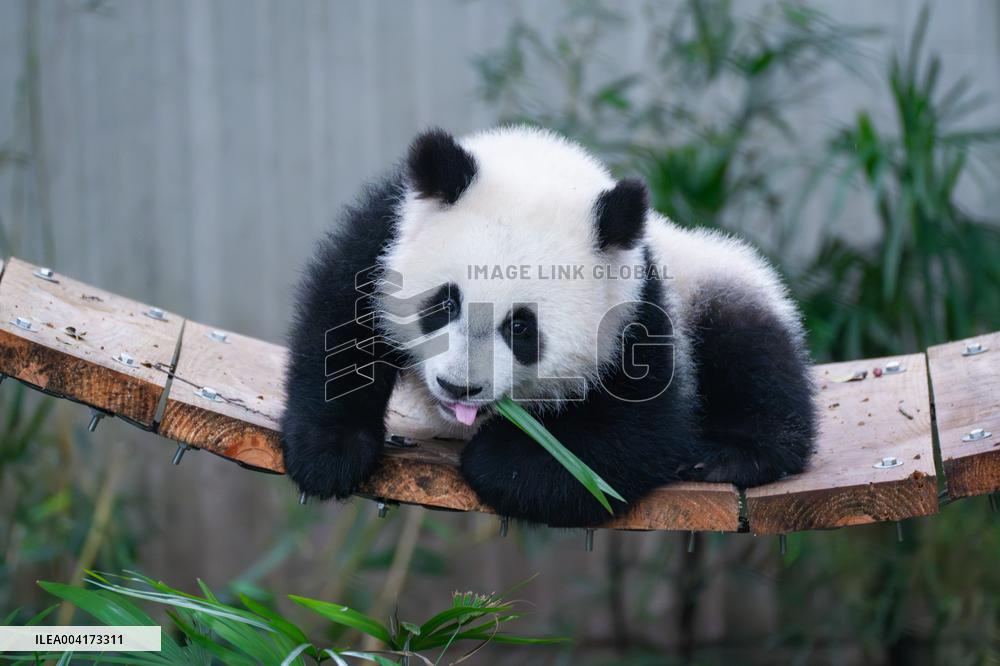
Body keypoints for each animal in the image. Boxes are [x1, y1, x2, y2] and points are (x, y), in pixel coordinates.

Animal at [281, 126, 817, 527]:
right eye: (445, 303)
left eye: (521, 328)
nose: (459, 387)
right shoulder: (384, 234)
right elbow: (338, 329)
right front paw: (329, 453)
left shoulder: (637, 309)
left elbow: (633, 438)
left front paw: (504, 459)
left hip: (716, 282)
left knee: (756, 358)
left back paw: (729, 454)